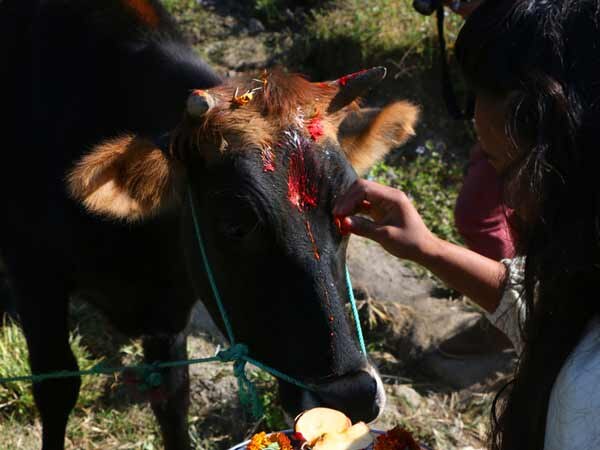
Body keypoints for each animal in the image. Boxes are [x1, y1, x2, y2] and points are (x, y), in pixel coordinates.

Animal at [0, 0, 420, 450]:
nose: (353, 395)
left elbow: (172, 394)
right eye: (234, 224)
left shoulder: (170, 309)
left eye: (347, 215)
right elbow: (56, 385)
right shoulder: (34, 275)